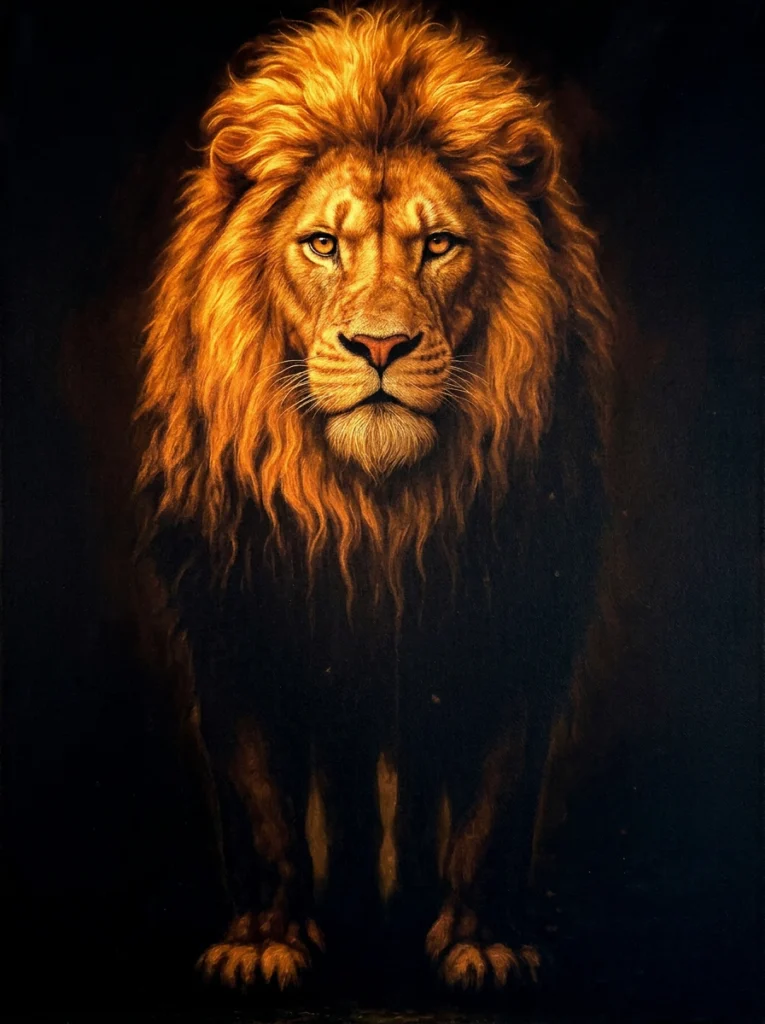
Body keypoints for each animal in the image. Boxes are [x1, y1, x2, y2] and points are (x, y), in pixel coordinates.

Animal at [135, 3, 613, 998]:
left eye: (438, 245)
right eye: (323, 243)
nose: (381, 347)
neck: (375, 514)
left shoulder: (509, 619)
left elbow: (490, 804)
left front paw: (484, 945)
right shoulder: (239, 619)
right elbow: (264, 809)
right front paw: (264, 946)